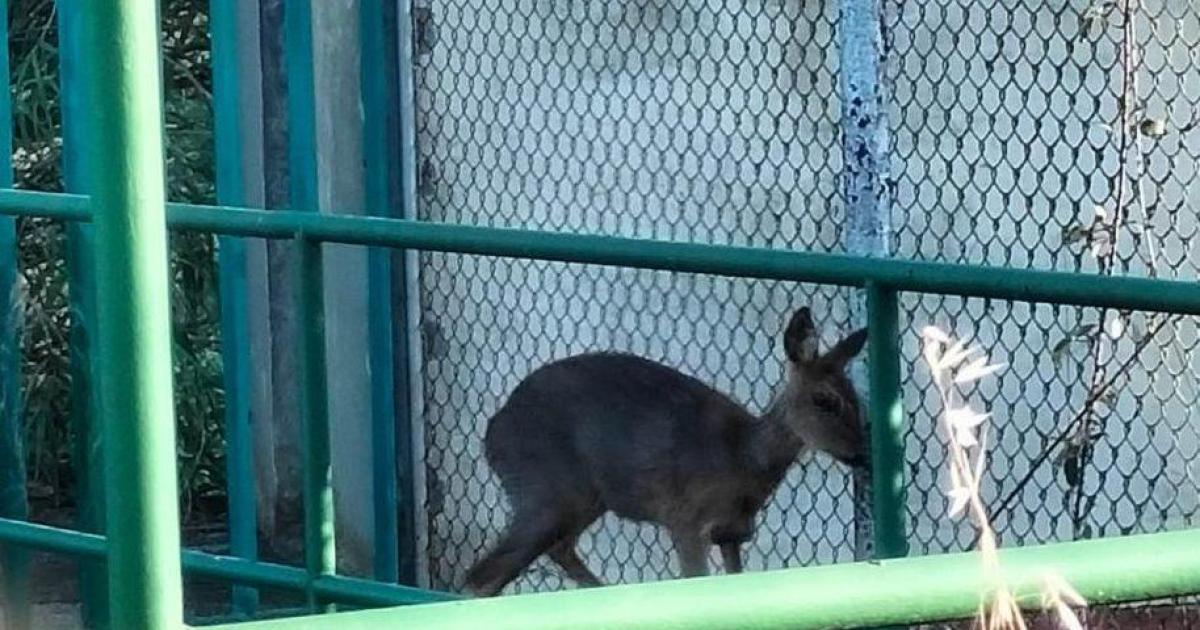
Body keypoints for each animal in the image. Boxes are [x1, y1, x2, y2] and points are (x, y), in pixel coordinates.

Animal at [463, 306, 868, 595]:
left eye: (857, 398)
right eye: (825, 400)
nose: (862, 453)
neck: (743, 459)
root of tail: (492, 432)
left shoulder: (732, 533)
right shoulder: (686, 519)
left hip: (583, 499)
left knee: (552, 552)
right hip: (545, 489)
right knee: (481, 576)